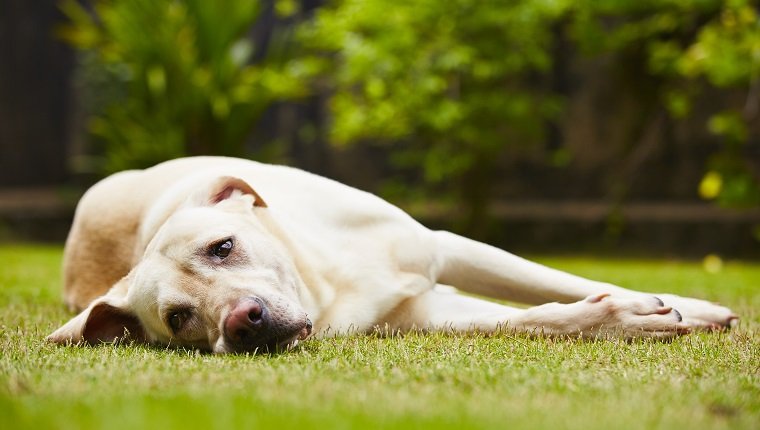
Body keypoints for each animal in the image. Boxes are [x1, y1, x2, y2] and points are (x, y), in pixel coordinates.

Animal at [46, 156, 736, 352]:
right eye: (180, 319)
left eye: (223, 247)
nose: (243, 324)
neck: (326, 284)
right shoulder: (425, 314)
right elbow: (540, 316)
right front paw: (623, 318)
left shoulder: (447, 250)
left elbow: (553, 281)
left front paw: (682, 304)